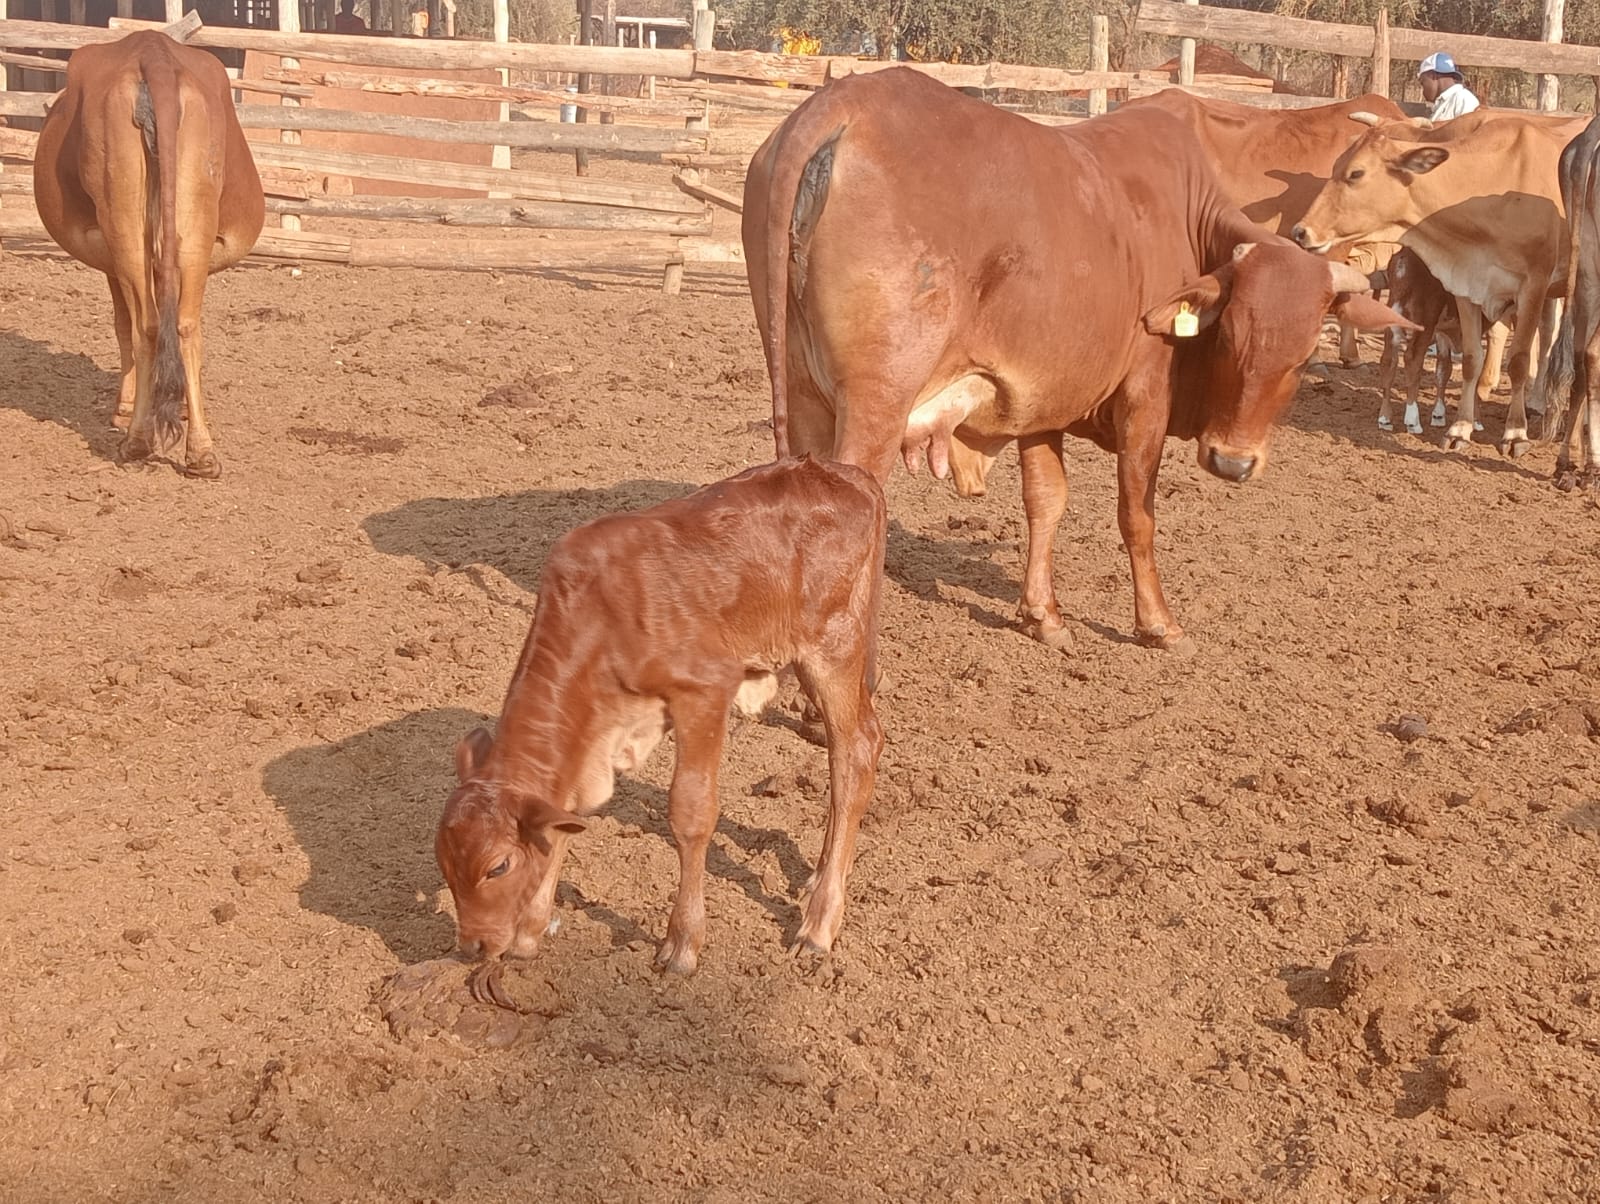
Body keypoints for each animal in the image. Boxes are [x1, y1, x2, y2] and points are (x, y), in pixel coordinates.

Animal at [33, 30, 264, 478]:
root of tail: (153, 52)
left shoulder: (109, 260)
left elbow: (122, 324)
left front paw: (123, 407)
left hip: (122, 221)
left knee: (146, 325)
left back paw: (137, 440)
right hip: (194, 217)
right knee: (184, 325)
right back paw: (201, 452)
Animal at [435, 457, 887, 1005]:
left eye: (497, 866)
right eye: (443, 862)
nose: (474, 946)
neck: (601, 617)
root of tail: (845, 474)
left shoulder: (706, 691)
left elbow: (690, 814)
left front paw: (681, 944)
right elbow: (564, 815)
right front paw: (529, 931)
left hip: (833, 647)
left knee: (855, 752)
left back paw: (818, 924)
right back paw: (818, 875)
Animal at [741, 68, 1412, 653]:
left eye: (1302, 357)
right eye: (1234, 336)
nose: (1232, 462)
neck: (1186, 224)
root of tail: (843, 104)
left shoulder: (1039, 403)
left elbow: (1046, 501)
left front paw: (1043, 615)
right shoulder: (1145, 398)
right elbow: (1137, 513)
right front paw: (1158, 624)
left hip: (800, 390)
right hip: (875, 402)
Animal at [1293, 111, 1583, 457]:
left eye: (1356, 173)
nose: (1301, 231)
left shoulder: (1533, 287)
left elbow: (1519, 361)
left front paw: (1514, 434)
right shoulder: (1467, 286)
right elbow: (1471, 358)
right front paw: (1460, 428)